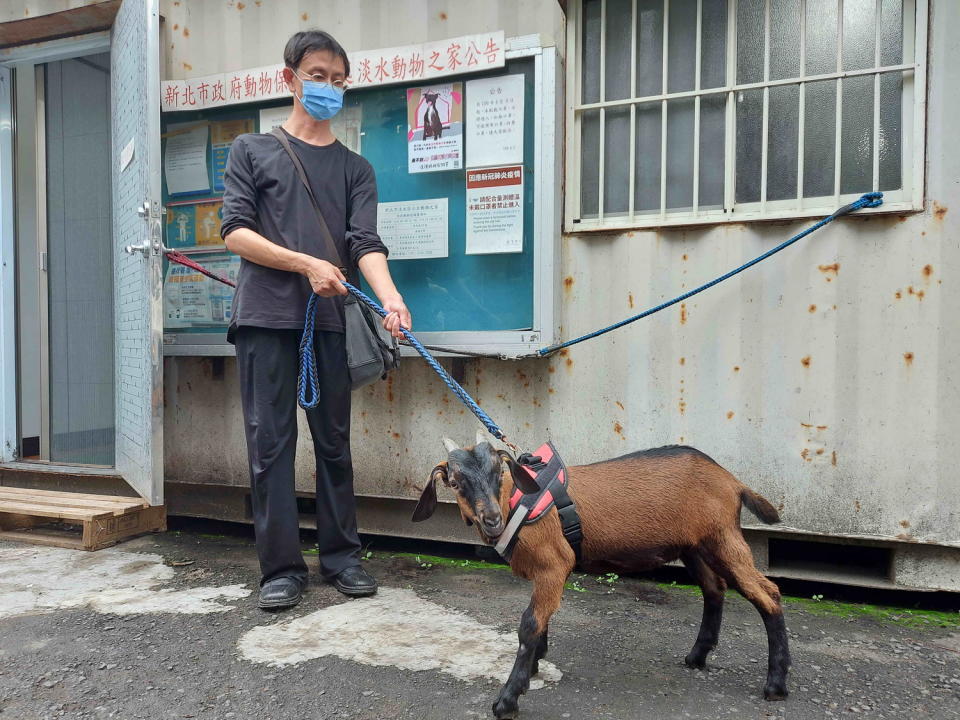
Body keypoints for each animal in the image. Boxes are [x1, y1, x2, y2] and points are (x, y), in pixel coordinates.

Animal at [412, 434, 788, 720]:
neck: (515, 501)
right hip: (694, 545)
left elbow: (529, 623)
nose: (491, 520)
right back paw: (697, 657)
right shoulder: (545, 573)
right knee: (714, 588)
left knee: (767, 593)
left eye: (499, 471)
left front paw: (508, 699)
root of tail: (733, 482)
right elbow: (542, 619)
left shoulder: (554, 563)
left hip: (722, 537)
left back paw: (776, 685)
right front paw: (534, 666)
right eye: (455, 482)